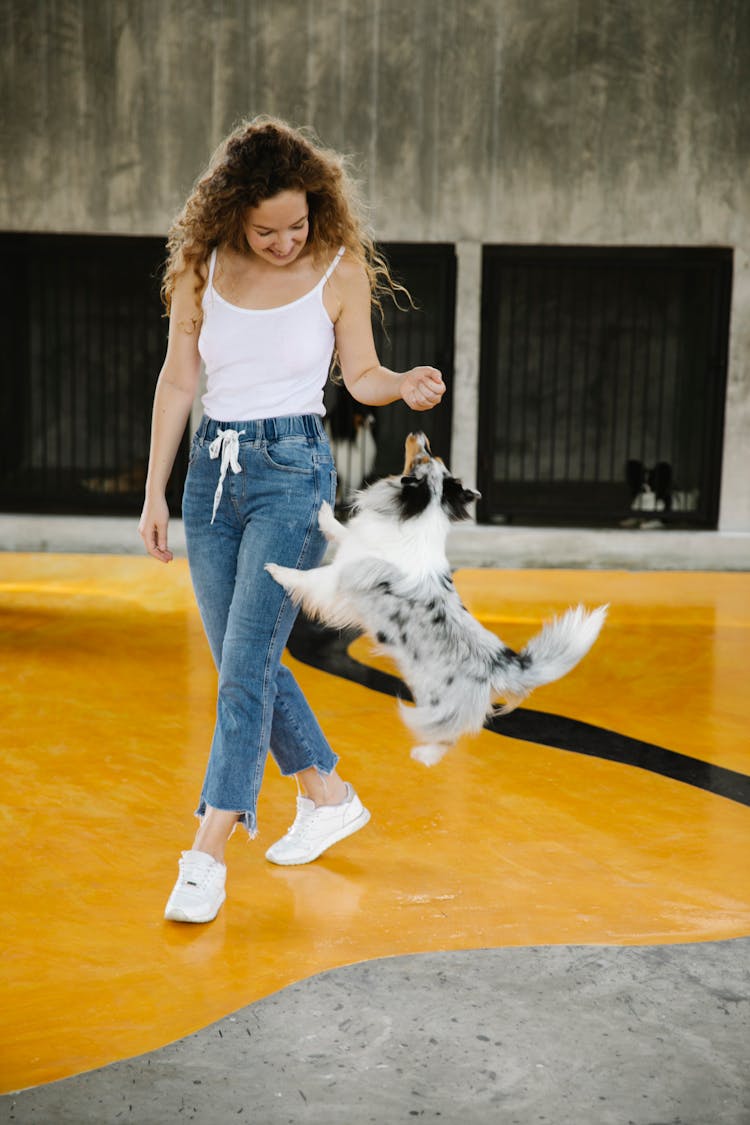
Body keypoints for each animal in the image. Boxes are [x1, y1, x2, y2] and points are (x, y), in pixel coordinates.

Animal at [266, 429, 607, 765]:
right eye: (431, 453)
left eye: (423, 457)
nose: (419, 432)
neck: (418, 517)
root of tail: (503, 665)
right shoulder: (354, 545)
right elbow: (341, 530)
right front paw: (325, 511)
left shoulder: (338, 578)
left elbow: (306, 577)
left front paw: (276, 570)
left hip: (435, 703)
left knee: (453, 734)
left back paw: (424, 754)